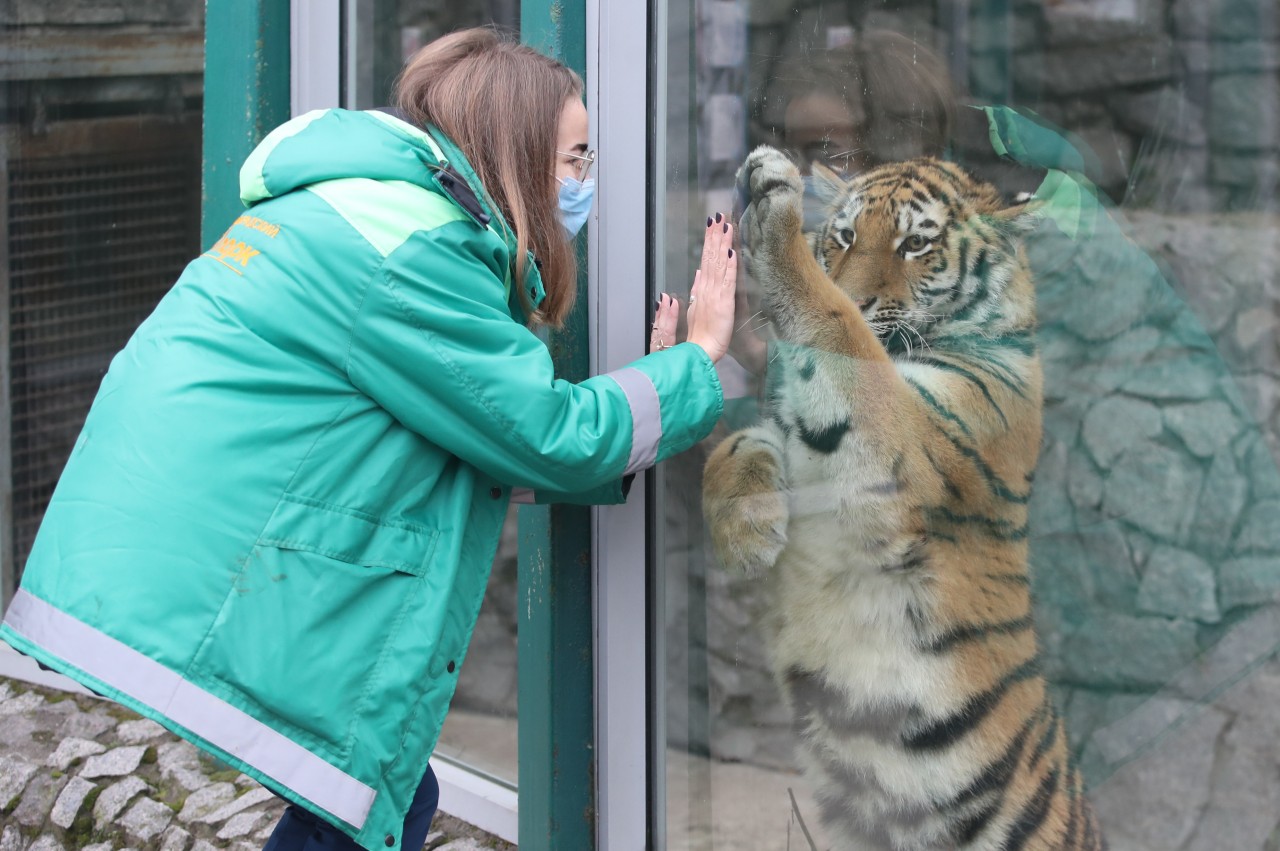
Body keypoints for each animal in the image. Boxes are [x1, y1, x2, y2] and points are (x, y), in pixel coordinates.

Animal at [706, 147, 1105, 849]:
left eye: (916, 243)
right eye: (844, 236)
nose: (859, 294)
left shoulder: (904, 440)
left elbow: (835, 325)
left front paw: (774, 204)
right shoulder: (795, 432)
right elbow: (737, 444)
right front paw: (745, 535)